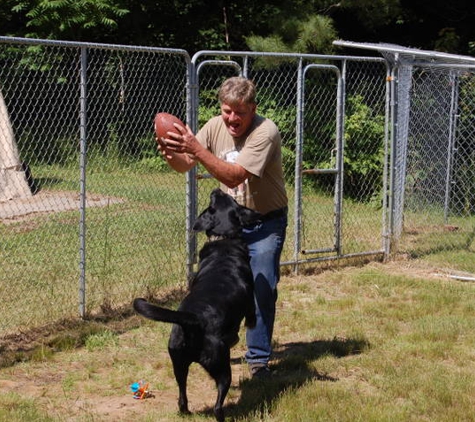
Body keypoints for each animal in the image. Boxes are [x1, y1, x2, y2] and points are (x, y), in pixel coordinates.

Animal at [133, 189, 260, 422]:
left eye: (218, 201)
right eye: (230, 199)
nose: (216, 190)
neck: (224, 239)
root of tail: (192, 319)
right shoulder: (249, 298)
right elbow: (251, 314)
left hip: (178, 363)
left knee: (182, 395)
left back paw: (186, 412)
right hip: (221, 366)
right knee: (218, 403)